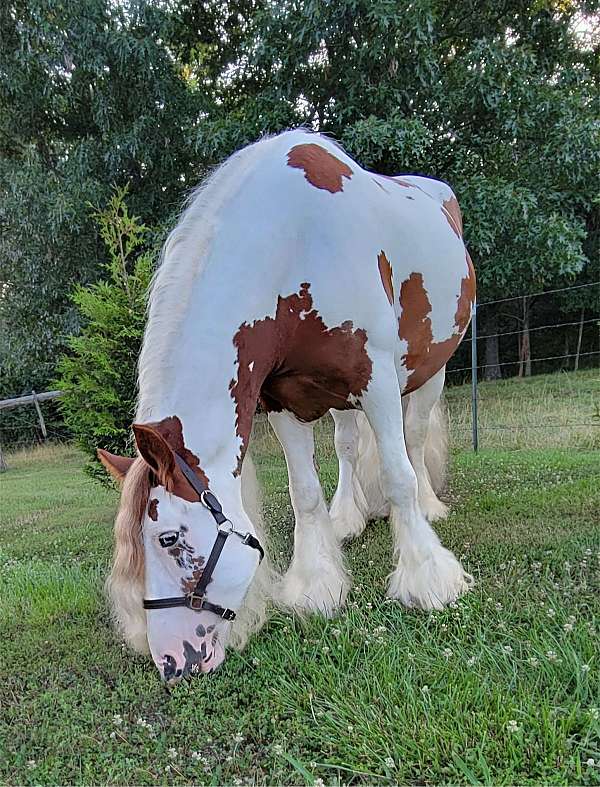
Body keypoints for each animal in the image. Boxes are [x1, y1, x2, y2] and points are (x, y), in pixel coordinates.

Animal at [98, 129, 475, 682]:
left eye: (166, 538)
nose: (171, 663)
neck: (296, 244)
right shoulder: (283, 400)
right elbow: (305, 493)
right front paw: (316, 586)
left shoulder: (379, 381)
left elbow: (399, 475)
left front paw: (427, 578)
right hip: (338, 396)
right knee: (346, 445)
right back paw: (350, 516)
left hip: (429, 373)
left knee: (415, 438)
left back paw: (429, 507)